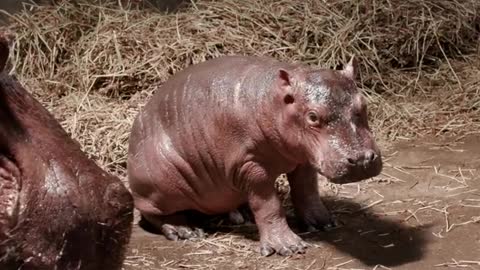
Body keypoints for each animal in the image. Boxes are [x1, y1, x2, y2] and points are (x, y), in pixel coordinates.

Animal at [127, 54, 382, 255]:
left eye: (364, 103)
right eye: (312, 116)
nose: (361, 160)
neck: (276, 102)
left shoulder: (304, 157)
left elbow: (307, 190)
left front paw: (324, 223)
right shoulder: (250, 166)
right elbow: (269, 205)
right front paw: (288, 247)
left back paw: (240, 215)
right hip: (160, 183)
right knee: (152, 212)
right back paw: (185, 231)